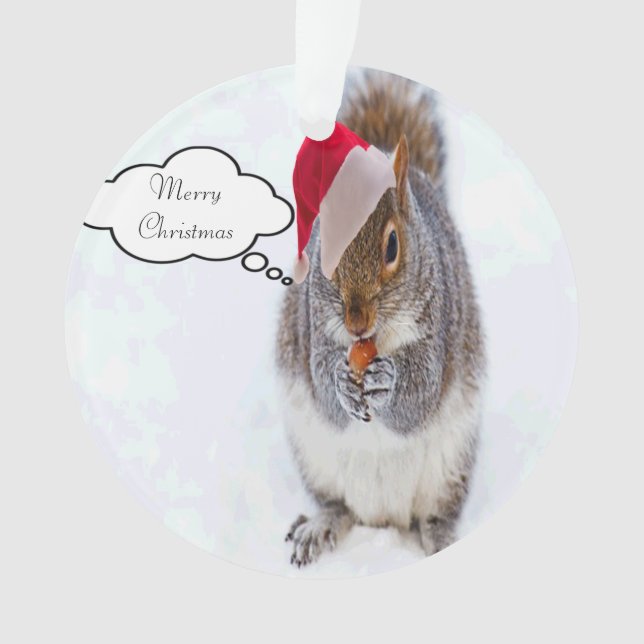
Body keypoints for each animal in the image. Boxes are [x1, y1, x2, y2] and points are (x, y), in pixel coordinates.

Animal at [277, 70, 485, 566]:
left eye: (392, 245)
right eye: (321, 243)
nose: (356, 322)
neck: (374, 340)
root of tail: (384, 518)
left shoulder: (438, 325)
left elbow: (421, 394)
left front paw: (388, 381)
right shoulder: (312, 329)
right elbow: (323, 388)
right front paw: (339, 381)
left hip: (450, 466)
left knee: (435, 518)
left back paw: (442, 539)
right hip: (315, 458)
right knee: (338, 506)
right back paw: (319, 524)